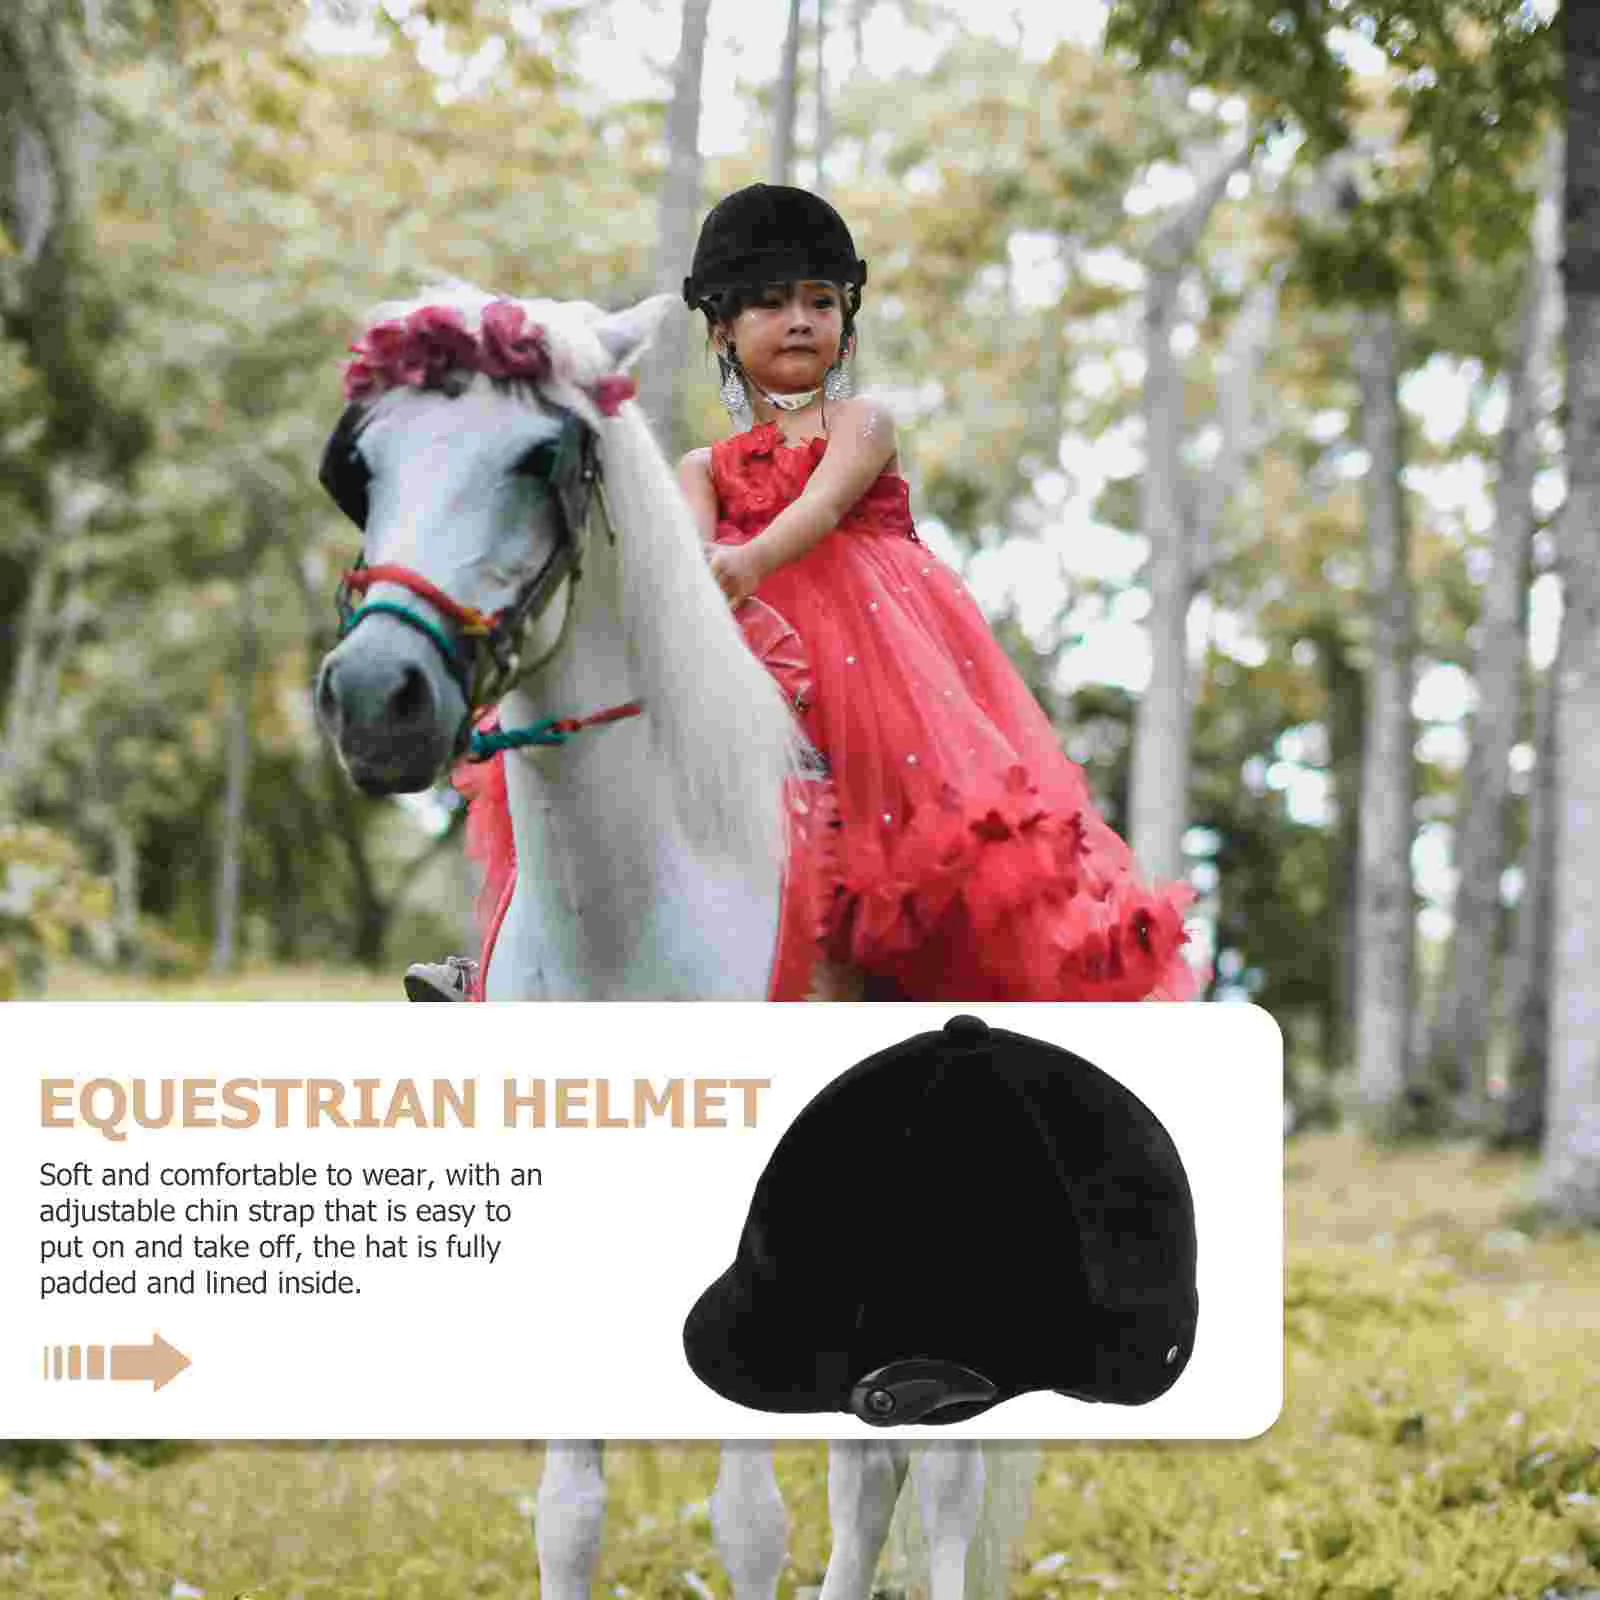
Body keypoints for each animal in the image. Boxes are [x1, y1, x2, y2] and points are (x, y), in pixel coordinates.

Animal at [312, 283, 1035, 1600]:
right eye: (364, 466)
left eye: (540, 457)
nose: (377, 700)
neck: (630, 904)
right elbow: (568, 1509)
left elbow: (748, 1517)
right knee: (872, 1469)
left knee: (938, 1479)